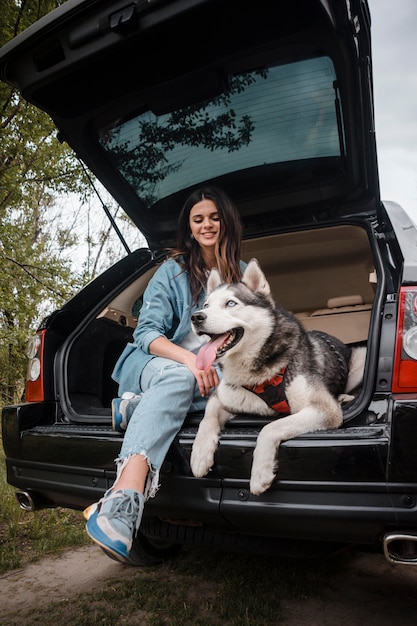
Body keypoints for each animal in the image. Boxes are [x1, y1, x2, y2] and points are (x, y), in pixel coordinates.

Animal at [190, 258, 366, 492]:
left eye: (231, 303)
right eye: (206, 306)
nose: (196, 317)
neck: (256, 372)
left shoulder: (325, 410)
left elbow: (270, 426)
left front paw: (260, 473)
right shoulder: (222, 398)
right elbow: (207, 419)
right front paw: (200, 455)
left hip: (361, 358)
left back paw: (344, 396)